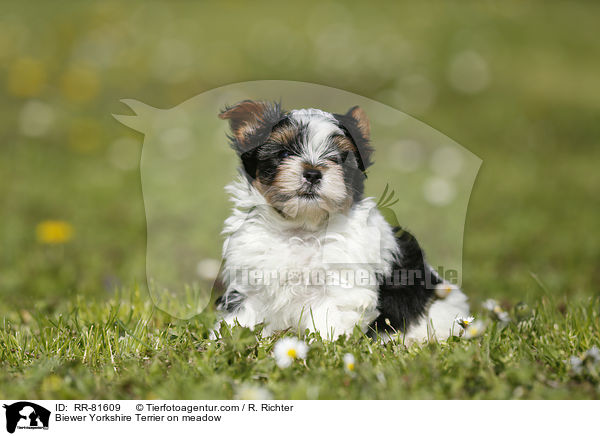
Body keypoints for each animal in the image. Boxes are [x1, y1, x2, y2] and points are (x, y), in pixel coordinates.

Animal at [213, 100, 466, 342]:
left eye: (340, 159)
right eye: (283, 154)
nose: (313, 173)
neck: (301, 228)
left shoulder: (341, 285)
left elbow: (329, 319)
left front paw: (326, 346)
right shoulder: (249, 281)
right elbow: (243, 315)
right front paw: (224, 340)